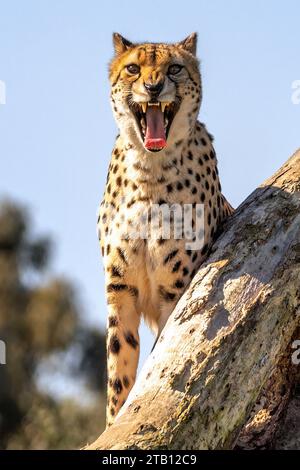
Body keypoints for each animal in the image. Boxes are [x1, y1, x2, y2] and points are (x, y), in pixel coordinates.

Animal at [97, 31, 233, 424]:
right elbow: (119, 374)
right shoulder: (120, 292)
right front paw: (111, 424)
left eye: (174, 68)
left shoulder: (175, 292)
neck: (149, 170)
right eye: (133, 68)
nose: (153, 88)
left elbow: (160, 357)